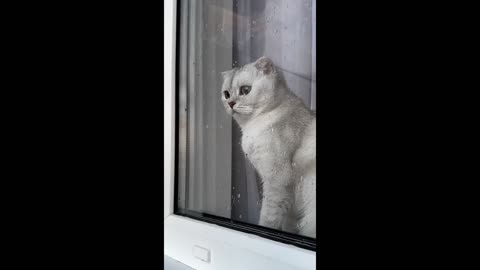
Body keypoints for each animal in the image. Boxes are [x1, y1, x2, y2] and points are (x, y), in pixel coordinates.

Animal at [220, 57, 316, 238]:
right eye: (226, 94)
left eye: (245, 90)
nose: (230, 103)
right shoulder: (290, 206)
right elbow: (287, 224)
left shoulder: (277, 182)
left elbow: (268, 219)